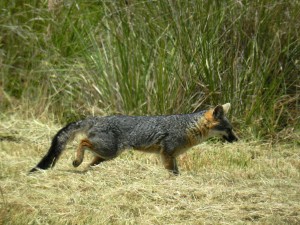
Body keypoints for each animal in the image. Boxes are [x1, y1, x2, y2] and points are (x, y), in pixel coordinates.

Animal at [29, 103, 237, 175]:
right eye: (229, 130)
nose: (237, 140)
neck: (187, 127)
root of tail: (97, 118)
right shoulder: (167, 153)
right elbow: (173, 172)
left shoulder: (172, 156)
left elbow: (176, 170)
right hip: (109, 150)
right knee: (82, 142)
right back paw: (76, 160)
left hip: (106, 155)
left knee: (90, 161)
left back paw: (85, 170)